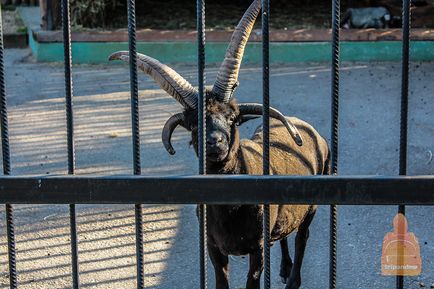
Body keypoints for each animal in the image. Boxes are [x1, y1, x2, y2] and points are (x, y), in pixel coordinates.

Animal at [109, 0, 328, 286]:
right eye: (194, 124)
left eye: (232, 118)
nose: (215, 142)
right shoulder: (214, 247)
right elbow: (221, 280)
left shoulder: (258, 248)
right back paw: (283, 268)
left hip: (312, 205)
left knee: (302, 237)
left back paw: (293, 280)